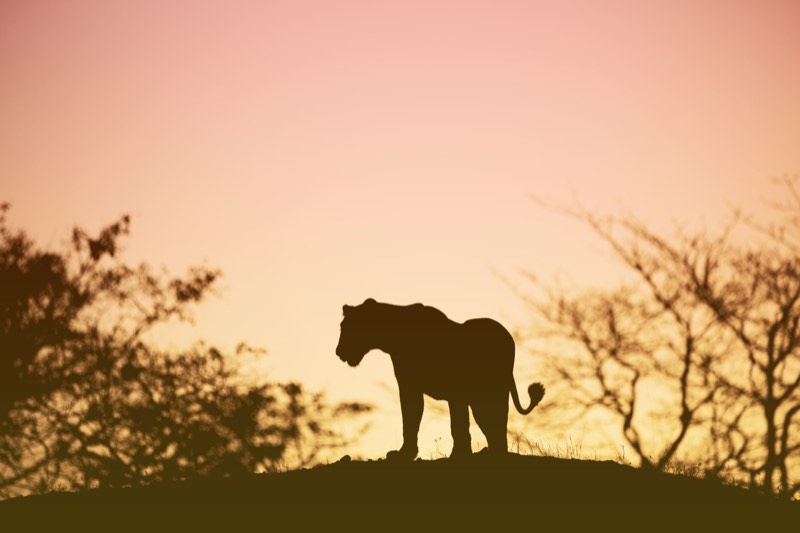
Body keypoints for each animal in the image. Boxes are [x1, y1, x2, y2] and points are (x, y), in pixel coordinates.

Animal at [336, 298, 544, 460]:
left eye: (347, 327)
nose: (338, 352)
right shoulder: (415, 388)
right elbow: (413, 421)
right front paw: (408, 453)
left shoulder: (446, 391)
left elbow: (453, 424)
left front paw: (458, 455)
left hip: (490, 393)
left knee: (496, 423)